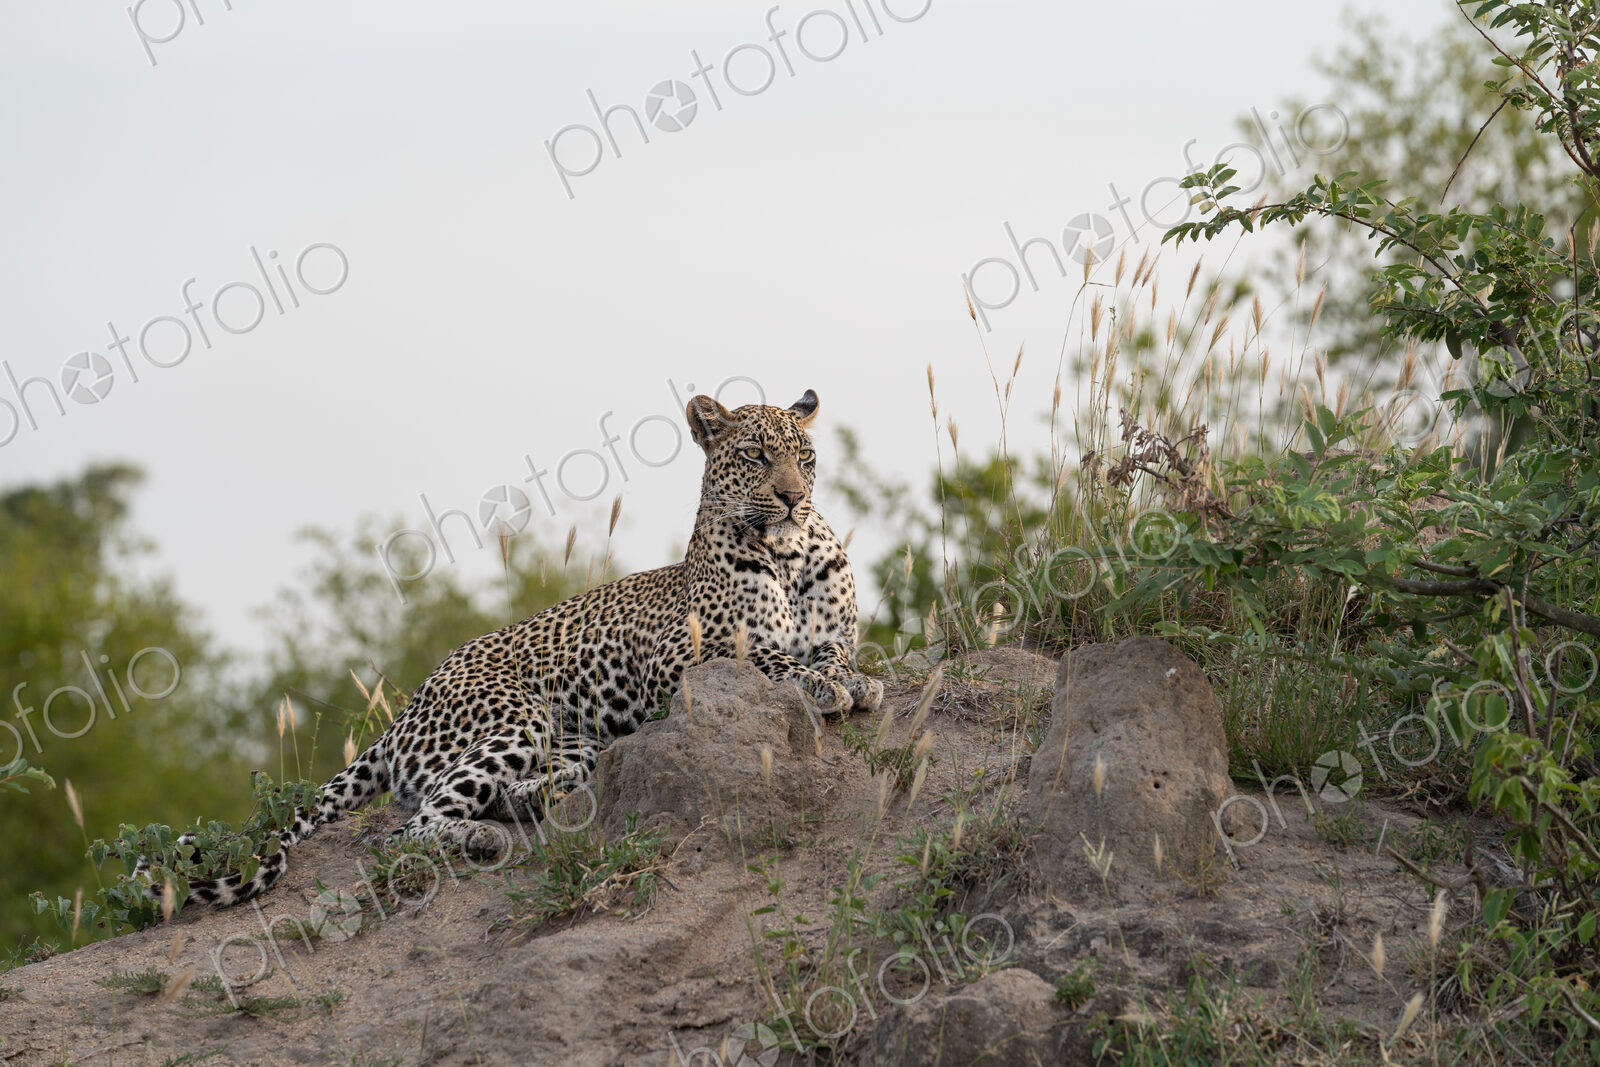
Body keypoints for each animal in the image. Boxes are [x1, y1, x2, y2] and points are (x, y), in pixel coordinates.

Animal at [148, 388, 883, 906]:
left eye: (806, 458)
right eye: (756, 455)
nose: (791, 498)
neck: (788, 553)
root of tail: (406, 711)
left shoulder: (832, 631)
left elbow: (836, 654)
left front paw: (856, 680)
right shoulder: (683, 656)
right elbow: (768, 657)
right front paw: (824, 685)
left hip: (575, 737)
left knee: (516, 785)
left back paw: (533, 801)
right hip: (515, 716)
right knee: (409, 828)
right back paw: (481, 835)